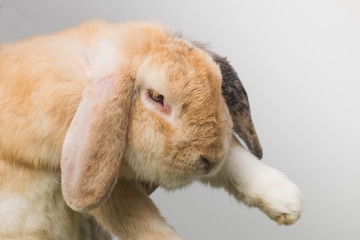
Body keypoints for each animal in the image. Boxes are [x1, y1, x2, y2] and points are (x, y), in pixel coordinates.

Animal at [0, 21, 304, 240]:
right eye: (157, 97)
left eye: (218, 85)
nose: (210, 158)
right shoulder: (101, 181)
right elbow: (141, 222)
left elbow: (236, 159)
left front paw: (288, 202)